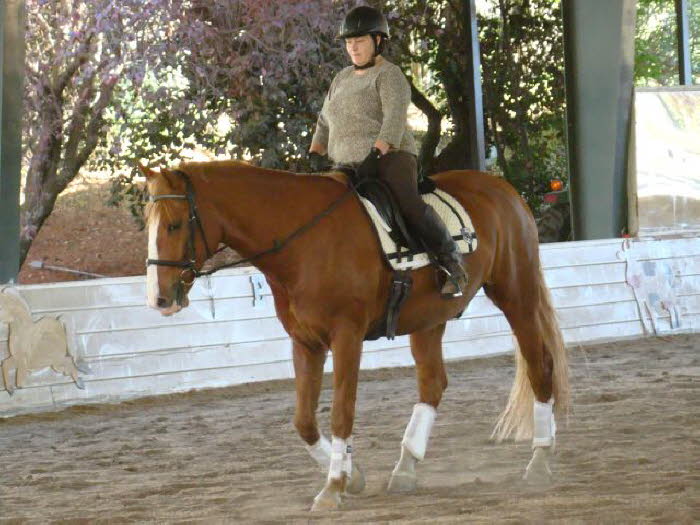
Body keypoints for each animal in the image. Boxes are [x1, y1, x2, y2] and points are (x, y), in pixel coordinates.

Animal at [141, 162, 568, 510]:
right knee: (433, 384)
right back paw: (405, 469)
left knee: (540, 367)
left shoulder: (346, 336)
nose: (159, 298)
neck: (303, 242)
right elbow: (304, 421)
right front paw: (354, 475)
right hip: (430, 319)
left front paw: (333, 487)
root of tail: (502, 188)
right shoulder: (305, 342)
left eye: (175, 224)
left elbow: (341, 412)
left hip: (517, 296)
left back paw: (540, 462)